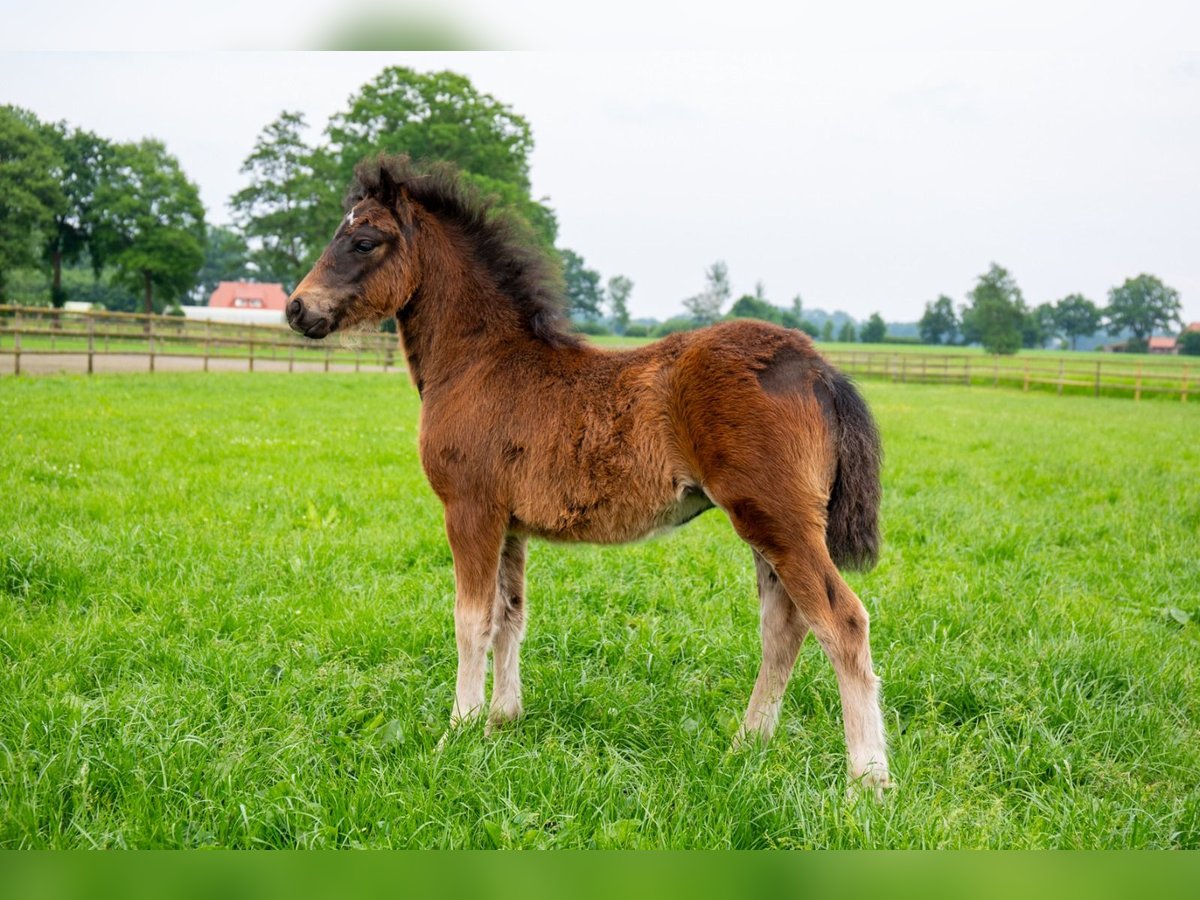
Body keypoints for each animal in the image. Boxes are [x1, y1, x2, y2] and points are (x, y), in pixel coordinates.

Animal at [285, 157, 892, 796]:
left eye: (363, 241)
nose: (297, 309)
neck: (478, 362)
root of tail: (817, 368)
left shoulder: (470, 509)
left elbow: (470, 619)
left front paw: (459, 730)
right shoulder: (510, 523)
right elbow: (509, 615)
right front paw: (502, 721)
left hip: (778, 518)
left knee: (841, 621)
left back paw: (868, 780)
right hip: (770, 525)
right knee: (784, 628)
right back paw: (745, 748)